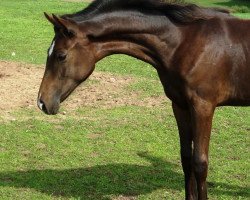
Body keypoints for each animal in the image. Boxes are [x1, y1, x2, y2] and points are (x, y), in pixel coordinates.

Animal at [37, 0, 250, 199]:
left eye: (61, 55)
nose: (42, 102)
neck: (185, 42)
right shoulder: (180, 105)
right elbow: (186, 158)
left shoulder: (203, 106)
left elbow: (200, 163)